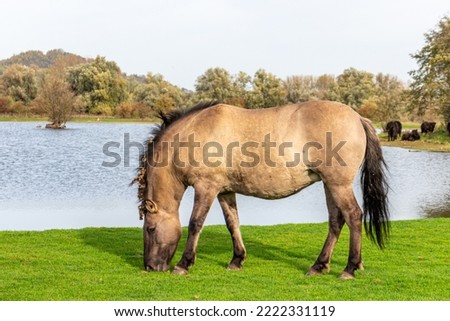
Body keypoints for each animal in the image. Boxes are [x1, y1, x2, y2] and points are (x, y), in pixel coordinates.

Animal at [132, 100, 388, 278]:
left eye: (151, 229)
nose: (150, 266)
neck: (192, 134)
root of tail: (358, 118)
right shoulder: (224, 191)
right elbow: (232, 223)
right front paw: (237, 260)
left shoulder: (207, 188)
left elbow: (196, 224)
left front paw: (184, 264)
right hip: (330, 185)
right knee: (336, 221)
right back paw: (319, 265)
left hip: (338, 185)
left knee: (353, 216)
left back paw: (350, 268)